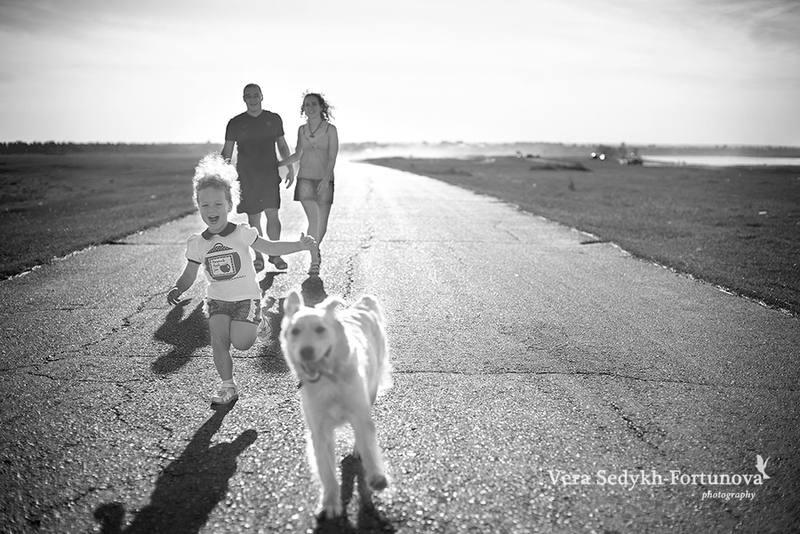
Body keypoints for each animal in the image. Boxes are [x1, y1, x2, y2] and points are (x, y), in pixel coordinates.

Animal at [280, 290, 392, 519]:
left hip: (371, 390)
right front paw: (330, 503)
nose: (306, 351)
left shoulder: (360, 414)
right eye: (294, 331)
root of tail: (361, 305)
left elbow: (369, 445)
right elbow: (327, 471)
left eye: (320, 329)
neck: (328, 381)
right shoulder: (319, 431)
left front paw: (376, 477)